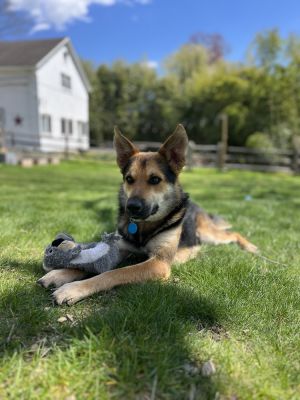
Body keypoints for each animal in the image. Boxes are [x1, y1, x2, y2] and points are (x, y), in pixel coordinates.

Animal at [38, 123, 258, 304]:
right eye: (129, 179)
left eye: (155, 180)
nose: (132, 207)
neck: (144, 226)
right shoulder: (122, 248)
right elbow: (90, 264)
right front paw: (59, 274)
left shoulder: (159, 263)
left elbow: (115, 273)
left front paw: (73, 289)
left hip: (209, 235)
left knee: (233, 234)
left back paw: (251, 247)